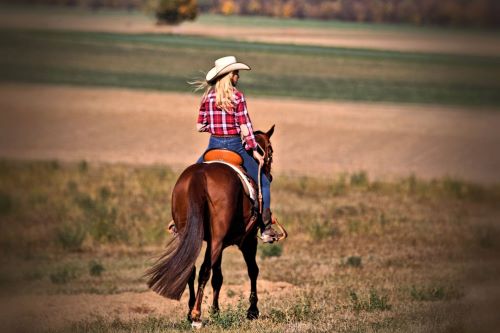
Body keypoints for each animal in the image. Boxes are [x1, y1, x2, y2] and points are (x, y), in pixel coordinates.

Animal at [146, 126, 282, 326]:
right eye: (270, 150)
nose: (269, 175)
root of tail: (200, 176)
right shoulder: (247, 241)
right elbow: (252, 270)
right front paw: (252, 311)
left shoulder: (216, 243)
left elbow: (218, 276)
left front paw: (216, 311)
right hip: (219, 238)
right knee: (204, 270)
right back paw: (196, 315)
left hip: (191, 235)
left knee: (191, 268)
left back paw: (190, 313)